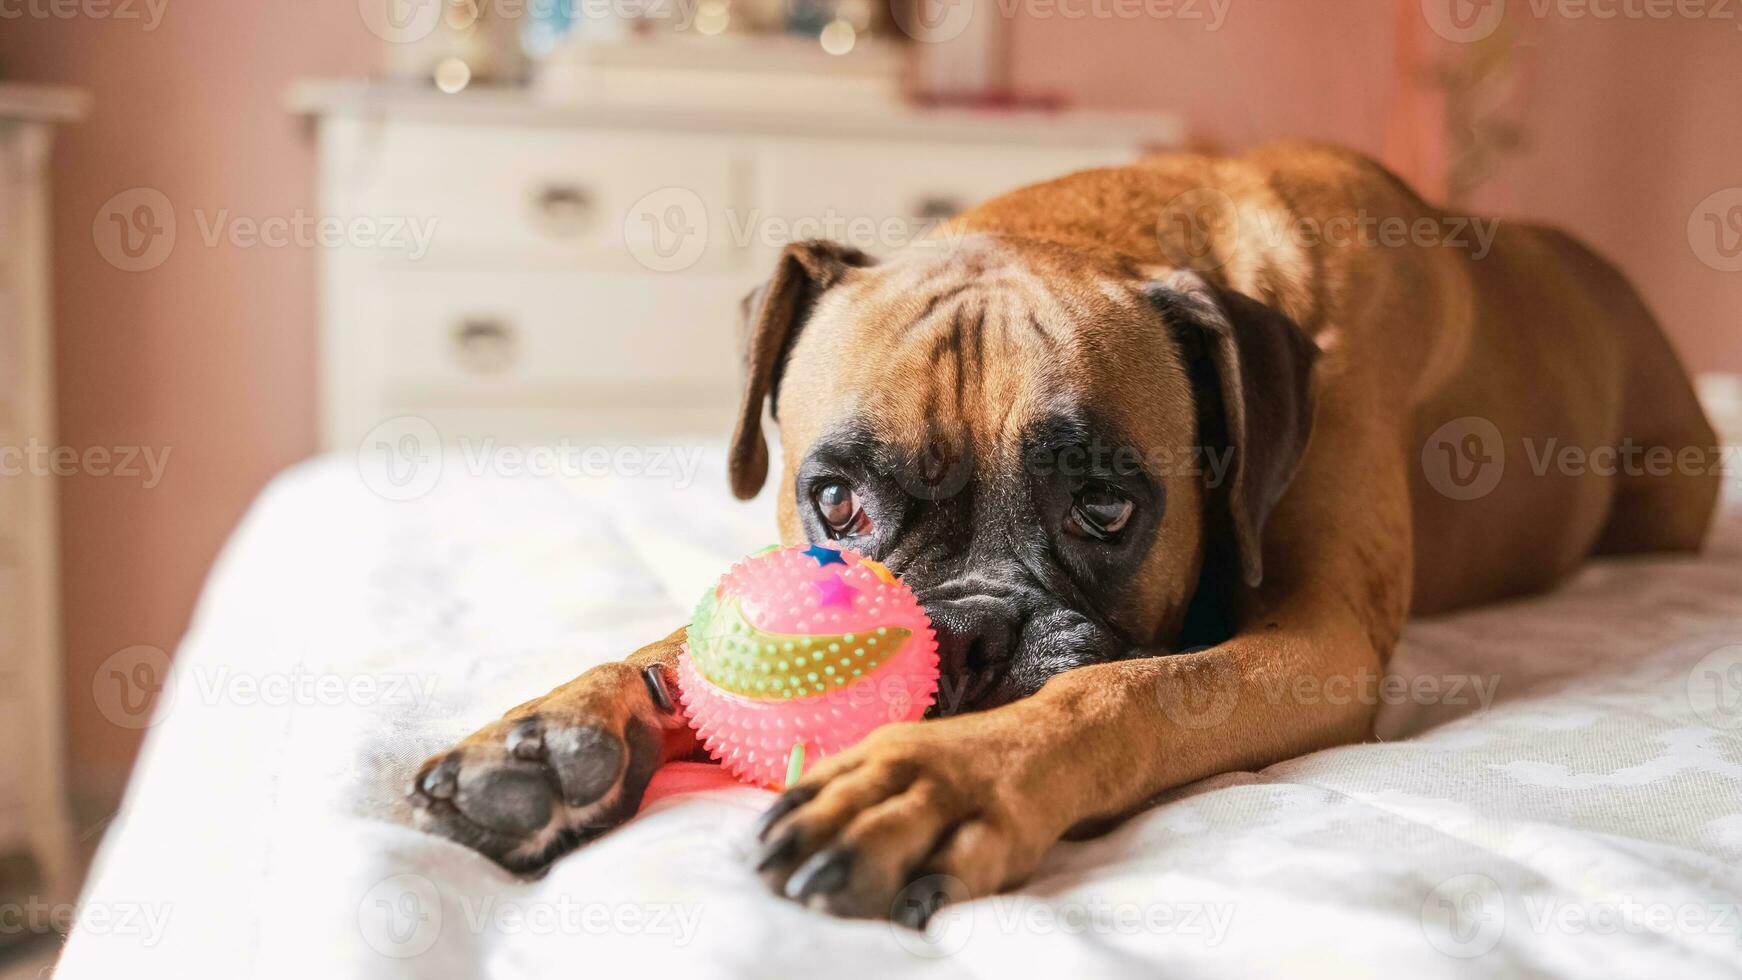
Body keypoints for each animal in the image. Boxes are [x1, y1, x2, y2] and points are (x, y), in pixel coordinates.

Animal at [404, 141, 1714, 926]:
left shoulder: (1317, 643)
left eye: (1105, 507)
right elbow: (684, 641)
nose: (971, 632)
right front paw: (548, 733)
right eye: (835, 503)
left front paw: (932, 782)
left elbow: (1121, 690)